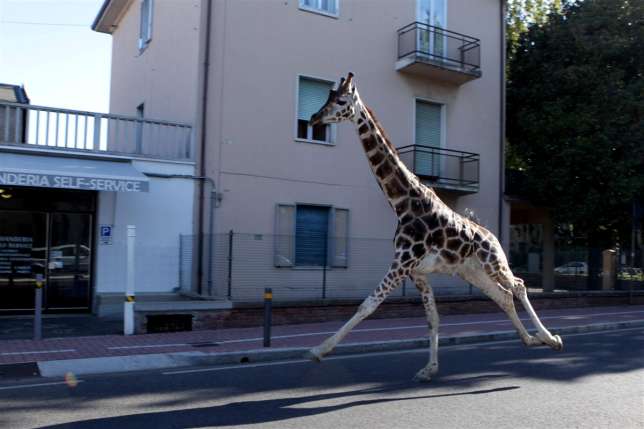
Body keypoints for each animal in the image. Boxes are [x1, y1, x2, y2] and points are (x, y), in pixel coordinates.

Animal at [306, 72, 563, 381]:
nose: (314, 118)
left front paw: (319, 350)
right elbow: (432, 318)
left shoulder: (402, 263)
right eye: (328, 97)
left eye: (342, 101)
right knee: (502, 296)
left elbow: (368, 304)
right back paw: (529, 340)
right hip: (472, 272)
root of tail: (492, 235)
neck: (402, 203)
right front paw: (429, 368)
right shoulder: (416, 271)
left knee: (519, 286)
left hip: (493, 263)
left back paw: (551, 339)